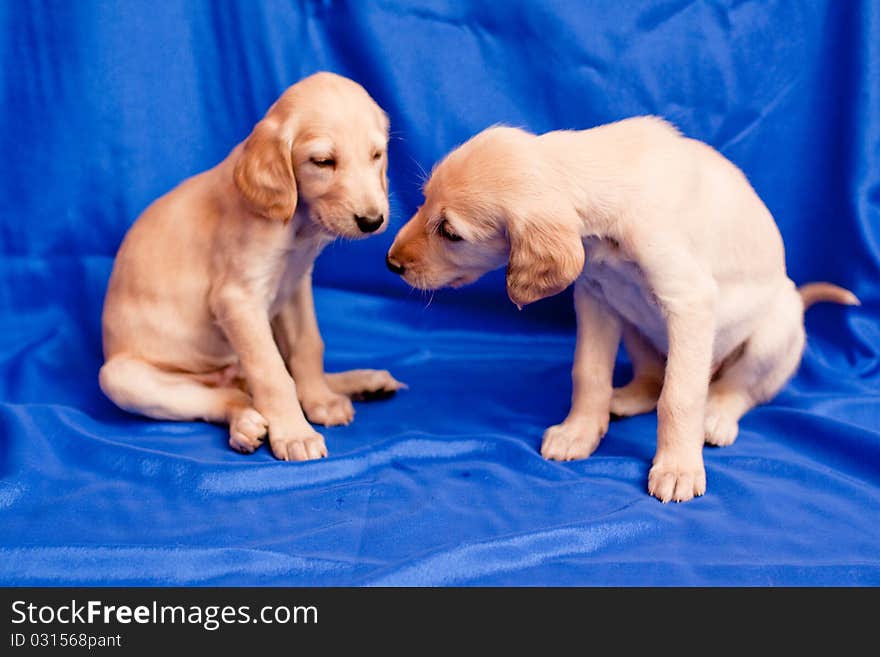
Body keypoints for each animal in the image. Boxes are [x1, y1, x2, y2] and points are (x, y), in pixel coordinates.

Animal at [101, 72, 404, 458]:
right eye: (322, 162)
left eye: (376, 155)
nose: (372, 221)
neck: (297, 225)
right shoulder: (237, 300)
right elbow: (272, 375)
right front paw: (294, 433)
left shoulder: (295, 286)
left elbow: (308, 347)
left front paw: (320, 400)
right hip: (122, 378)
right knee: (227, 396)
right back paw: (245, 422)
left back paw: (362, 382)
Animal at [386, 115, 860, 500]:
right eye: (423, 200)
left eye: (450, 232)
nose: (391, 263)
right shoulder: (595, 297)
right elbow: (589, 374)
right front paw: (579, 431)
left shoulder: (689, 302)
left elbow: (680, 396)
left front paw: (678, 467)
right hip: (634, 324)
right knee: (652, 378)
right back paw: (626, 399)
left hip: (773, 332)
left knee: (740, 390)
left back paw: (718, 416)